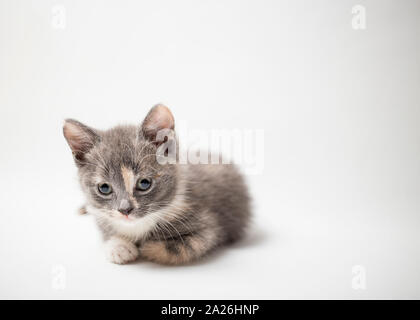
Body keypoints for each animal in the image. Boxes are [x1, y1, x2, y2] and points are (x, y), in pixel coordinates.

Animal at [64, 105, 251, 264]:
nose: (125, 210)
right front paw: (119, 246)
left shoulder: (207, 228)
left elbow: (168, 249)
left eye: (144, 183)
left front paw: (142, 245)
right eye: (104, 188)